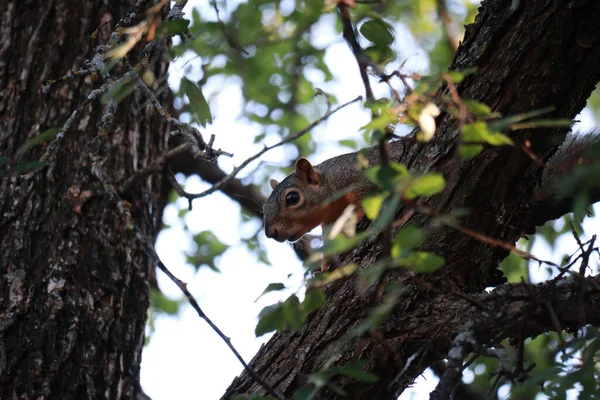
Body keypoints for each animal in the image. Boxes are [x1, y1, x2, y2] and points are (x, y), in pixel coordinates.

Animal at [264, 133, 596, 270]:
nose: (271, 233)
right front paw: (324, 267)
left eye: (292, 198)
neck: (333, 186)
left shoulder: (366, 178)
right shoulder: (331, 224)